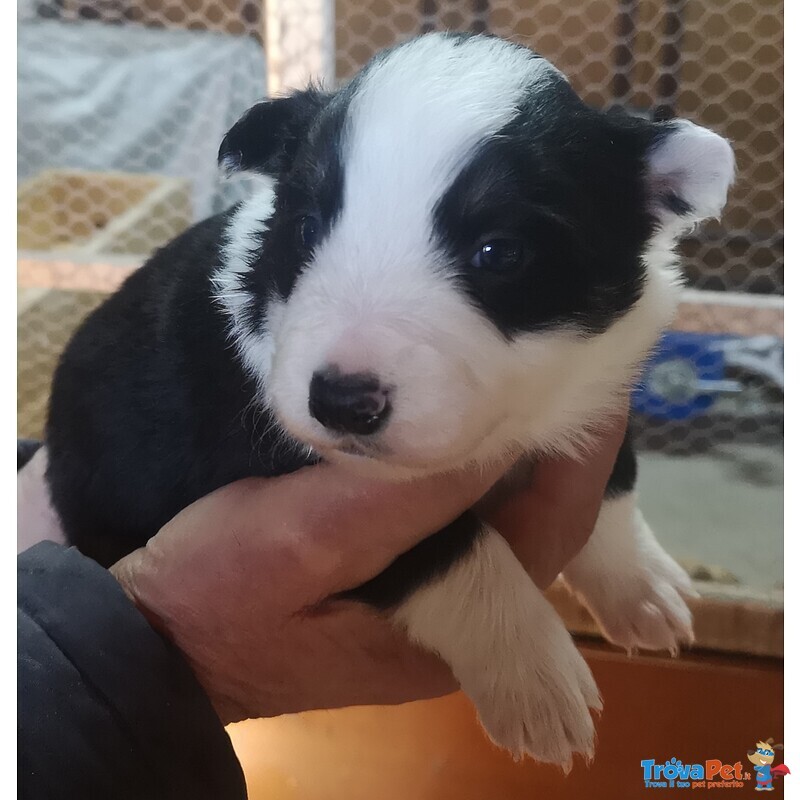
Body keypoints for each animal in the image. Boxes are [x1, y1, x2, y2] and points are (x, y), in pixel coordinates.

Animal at [42, 34, 732, 764]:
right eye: (307, 227)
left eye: (498, 252)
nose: (342, 402)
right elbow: (452, 549)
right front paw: (535, 676)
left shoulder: (603, 378)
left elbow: (612, 481)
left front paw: (643, 586)